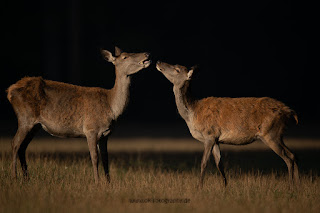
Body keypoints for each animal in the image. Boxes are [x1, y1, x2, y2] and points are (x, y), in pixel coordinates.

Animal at [6, 46, 151, 183]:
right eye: (125, 57)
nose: (147, 54)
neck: (111, 107)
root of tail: (10, 91)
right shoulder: (91, 129)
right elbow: (94, 157)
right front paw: (97, 182)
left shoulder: (106, 134)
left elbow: (106, 158)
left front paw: (109, 183)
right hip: (25, 118)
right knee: (15, 143)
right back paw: (14, 177)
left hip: (35, 125)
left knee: (22, 147)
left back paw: (26, 178)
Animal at [156, 60, 298, 187]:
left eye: (177, 69)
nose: (158, 62)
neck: (192, 114)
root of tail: (289, 112)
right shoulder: (216, 139)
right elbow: (220, 164)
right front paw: (225, 187)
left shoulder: (209, 135)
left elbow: (204, 163)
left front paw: (199, 187)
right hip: (277, 135)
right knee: (292, 154)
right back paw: (298, 185)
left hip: (270, 133)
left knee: (288, 158)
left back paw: (290, 186)